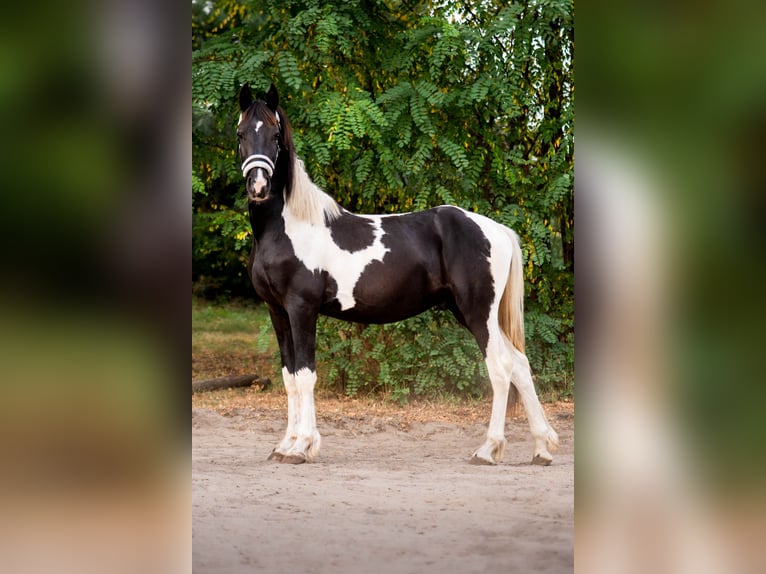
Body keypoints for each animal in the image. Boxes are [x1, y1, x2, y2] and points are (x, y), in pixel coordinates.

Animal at [236, 83, 559, 465]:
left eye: (275, 136)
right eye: (241, 133)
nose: (258, 186)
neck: (288, 228)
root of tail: (497, 230)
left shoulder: (302, 309)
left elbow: (305, 376)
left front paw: (302, 446)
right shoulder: (277, 311)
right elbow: (289, 377)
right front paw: (285, 445)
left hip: (478, 312)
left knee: (500, 367)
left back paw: (488, 449)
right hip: (474, 313)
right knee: (520, 365)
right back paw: (541, 448)